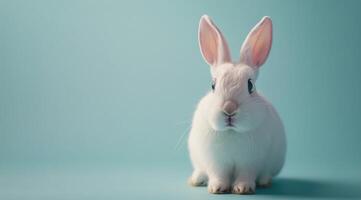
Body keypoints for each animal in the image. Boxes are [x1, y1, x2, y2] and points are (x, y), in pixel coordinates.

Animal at [187, 15, 286, 194]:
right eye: (213, 85)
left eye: (250, 85)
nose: (229, 109)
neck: (232, 132)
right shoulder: (216, 163)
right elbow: (218, 175)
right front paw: (217, 188)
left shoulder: (250, 163)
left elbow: (245, 175)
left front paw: (242, 188)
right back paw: (196, 179)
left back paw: (265, 181)